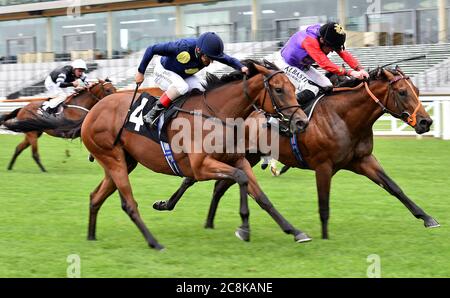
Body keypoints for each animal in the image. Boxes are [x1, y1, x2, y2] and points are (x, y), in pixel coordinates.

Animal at [81, 60, 312, 249]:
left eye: (294, 88)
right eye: (279, 89)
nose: (302, 122)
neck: (217, 114)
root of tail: (93, 111)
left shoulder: (238, 160)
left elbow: (261, 197)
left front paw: (294, 231)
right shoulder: (201, 168)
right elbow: (240, 178)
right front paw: (244, 228)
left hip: (123, 162)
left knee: (95, 196)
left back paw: (91, 236)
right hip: (113, 159)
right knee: (129, 203)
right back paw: (154, 243)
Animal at [153, 67, 438, 240]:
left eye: (418, 91)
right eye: (402, 92)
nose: (426, 122)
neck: (344, 117)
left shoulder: (363, 160)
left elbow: (394, 187)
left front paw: (427, 217)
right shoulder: (323, 166)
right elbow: (324, 203)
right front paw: (324, 236)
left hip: (247, 157)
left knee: (219, 186)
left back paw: (208, 222)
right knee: (195, 178)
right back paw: (167, 204)